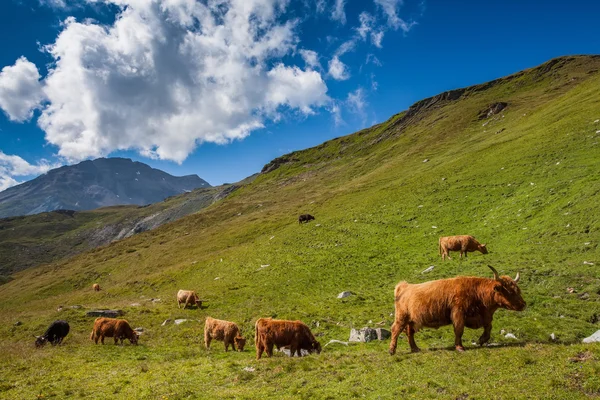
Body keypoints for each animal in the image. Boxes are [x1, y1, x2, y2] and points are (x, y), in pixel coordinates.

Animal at [390, 266, 524, 354]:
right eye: (509, 291)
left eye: (517, 289)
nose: (523, 304)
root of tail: (404, 286)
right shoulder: (458, 313)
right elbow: (459, 330)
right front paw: (460, 347)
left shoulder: (482, 317)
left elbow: (488, 328)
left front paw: (481, 340)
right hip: (401, 317)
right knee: (396, 330)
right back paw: (392, 350)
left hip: (411, 320)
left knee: (409, 333)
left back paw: (415, 349)